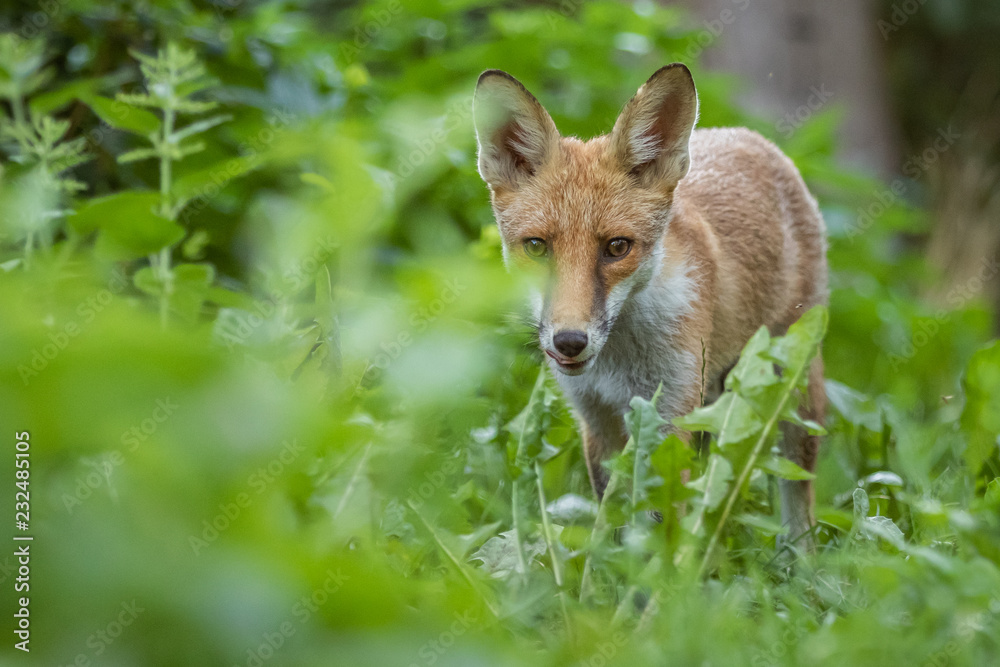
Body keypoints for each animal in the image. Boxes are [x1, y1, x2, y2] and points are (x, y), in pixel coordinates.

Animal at [473, 64, 828, 545]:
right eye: (536, 247)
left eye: (617, 247)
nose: (570, 341)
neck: (619, 362)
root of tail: (750, 136)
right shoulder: (598, 420)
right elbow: (614, 525)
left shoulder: (669, 416)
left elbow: (656, 526)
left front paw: (659, 567)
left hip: (791, 390)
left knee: (799, 499)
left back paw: (801, 561)